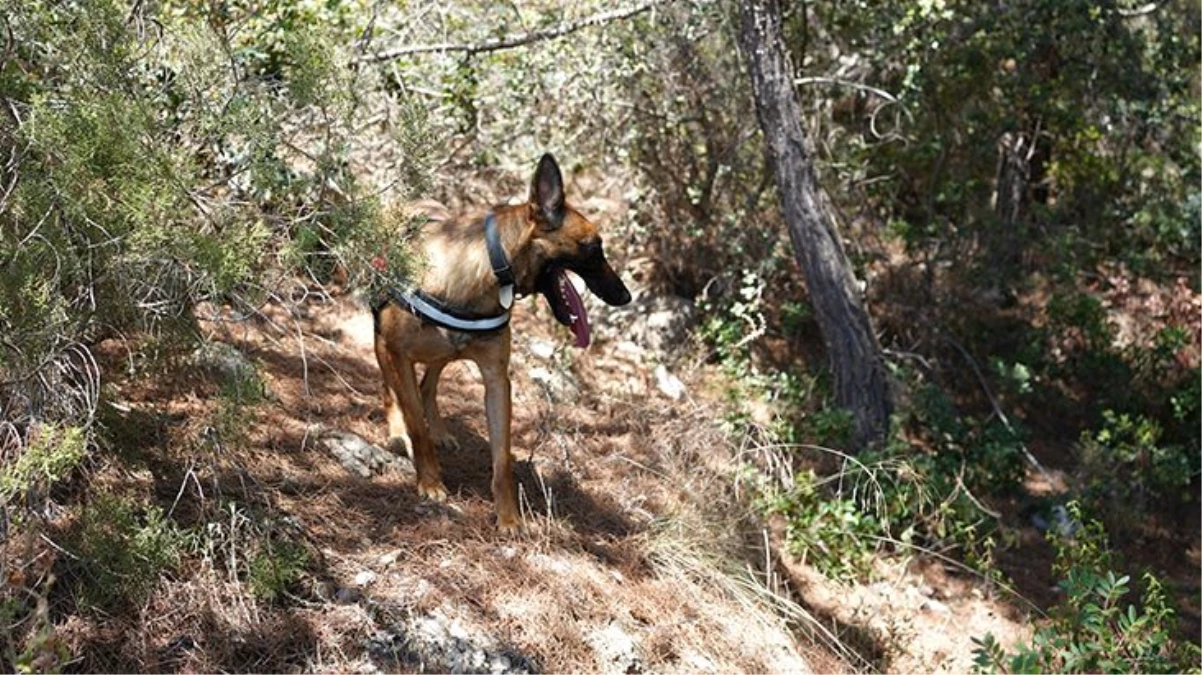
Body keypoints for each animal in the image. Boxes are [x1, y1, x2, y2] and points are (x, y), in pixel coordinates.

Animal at [372, 153, 639, 530]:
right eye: (594, 248)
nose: (625, 296)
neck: (487, 271)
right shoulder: (399, 353)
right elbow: (416, 427)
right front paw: (430, 481)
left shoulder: (497, 380)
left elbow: (502, 459)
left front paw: (509, 517)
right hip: (385, 345)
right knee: (392, 390)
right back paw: (398, 430)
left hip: (444, 352)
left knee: (429, 384)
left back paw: (439, 428)